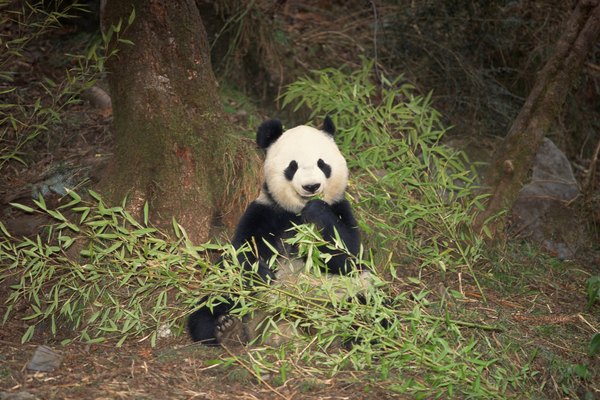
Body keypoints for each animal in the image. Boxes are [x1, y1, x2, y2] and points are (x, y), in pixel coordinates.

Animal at [186, 116, 370, 346]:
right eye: (292, 166)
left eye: (322, 164)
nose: (311, 186)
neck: (297, 211)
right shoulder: (266, 211)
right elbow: (242, 251)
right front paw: (262, 273)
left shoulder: (340, 208)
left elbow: (349, 256)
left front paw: (316, 211)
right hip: (233, 293)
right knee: (211, 304)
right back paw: (228, 331)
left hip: (344, 291)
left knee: (368, 306)